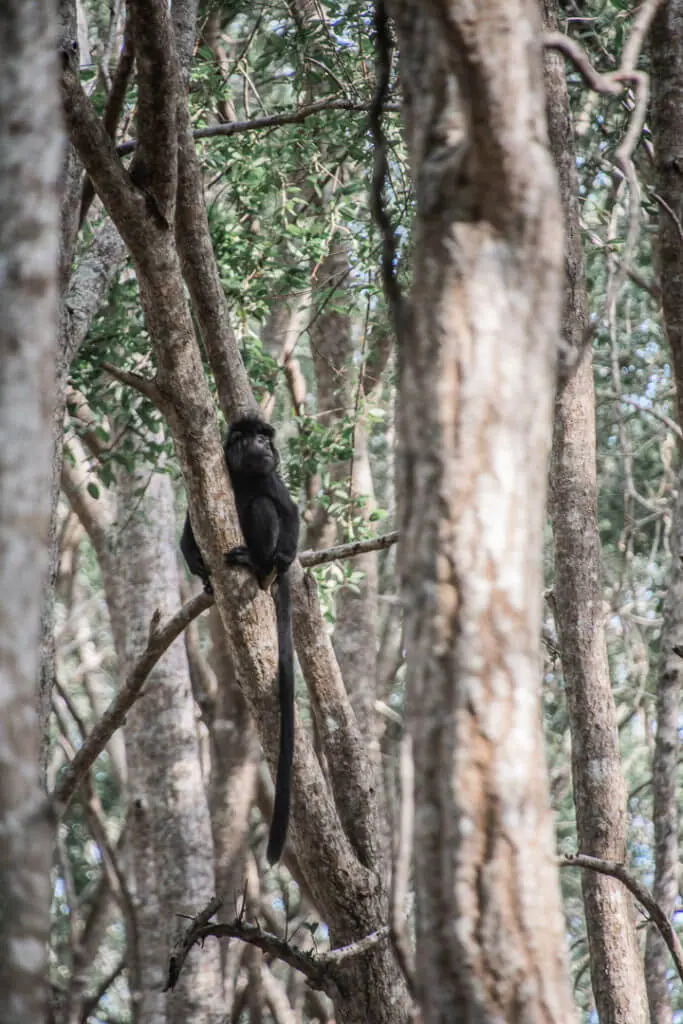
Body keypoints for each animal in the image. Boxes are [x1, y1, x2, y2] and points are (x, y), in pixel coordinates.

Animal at [180, 415, 299, 863]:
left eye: (266, 438)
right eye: (252, 438)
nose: (263, 444)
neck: (246, 475)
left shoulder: (272, 478)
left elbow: (288, 513)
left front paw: (283, 557)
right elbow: (188, 522)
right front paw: (193, 560)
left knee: (263, 508)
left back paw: (260, 563)